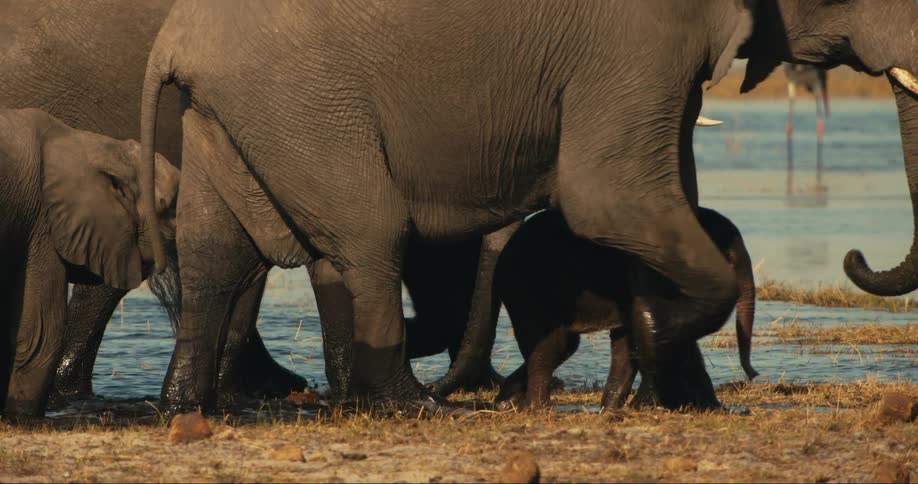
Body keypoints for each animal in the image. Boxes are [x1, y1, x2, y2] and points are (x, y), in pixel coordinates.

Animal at [493, 207, 756, 410]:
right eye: (726, 258)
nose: (753, 374)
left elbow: (632, 342)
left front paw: (612, 409)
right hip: (527, 290)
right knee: (550, 344)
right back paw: (536, 408)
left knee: (564, 345)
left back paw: (508, 402)